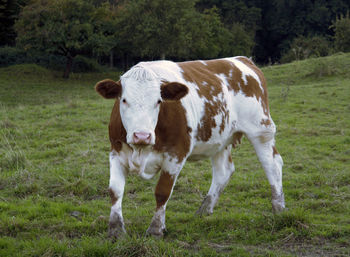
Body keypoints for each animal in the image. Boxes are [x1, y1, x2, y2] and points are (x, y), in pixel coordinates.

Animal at [95, 56, 284, 238]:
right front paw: (116, 230)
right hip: (220, 138)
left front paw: (156, 229)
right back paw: (204, 210)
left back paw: (279, 208)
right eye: (124, 100)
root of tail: (242, 60)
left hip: (261, 130)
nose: (142, 135)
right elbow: (115, 190)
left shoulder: (176, 155)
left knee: (272, 164)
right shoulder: (116, 152)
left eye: (159, 101)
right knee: (223, 171)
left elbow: (162, 191)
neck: (141, 150)